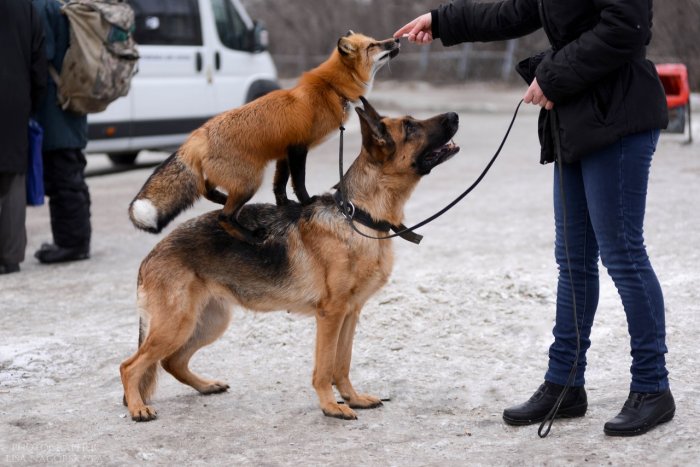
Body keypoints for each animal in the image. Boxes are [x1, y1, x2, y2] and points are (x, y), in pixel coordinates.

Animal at [120, 98, 460, 420]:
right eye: (410, 127)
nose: (455, 115)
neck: (358, 216)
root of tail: (151, 255)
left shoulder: (350, 313)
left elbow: (343, 364)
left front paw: (352, 398)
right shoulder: (331, 315)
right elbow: (325, 367)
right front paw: (331, 406)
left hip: (209, 323)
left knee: (171, 361)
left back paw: (205, 386)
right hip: (177, 325)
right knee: (131, 365)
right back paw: (138, 409)